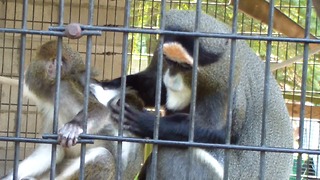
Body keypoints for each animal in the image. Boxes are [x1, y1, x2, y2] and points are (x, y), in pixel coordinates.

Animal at [105, 10, 292, 180]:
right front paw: (109, 84)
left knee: (171, 150)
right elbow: (154, 87)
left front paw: (145, 122)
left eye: (185, 66)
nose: (171, 78)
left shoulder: (225, 80)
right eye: (169, 60)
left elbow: (213, 129)